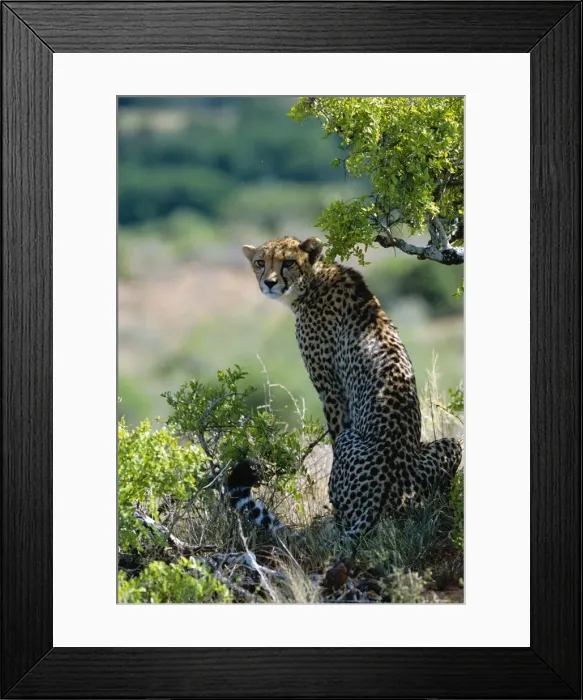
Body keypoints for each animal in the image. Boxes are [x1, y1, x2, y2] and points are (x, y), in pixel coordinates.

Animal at [242, 236, 462, 538]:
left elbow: (334, 437)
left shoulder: (331, 392)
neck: (313, 281)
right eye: (260, 262)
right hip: (451, 445)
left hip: (353, 442)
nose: (270, 282)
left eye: (288, 262)